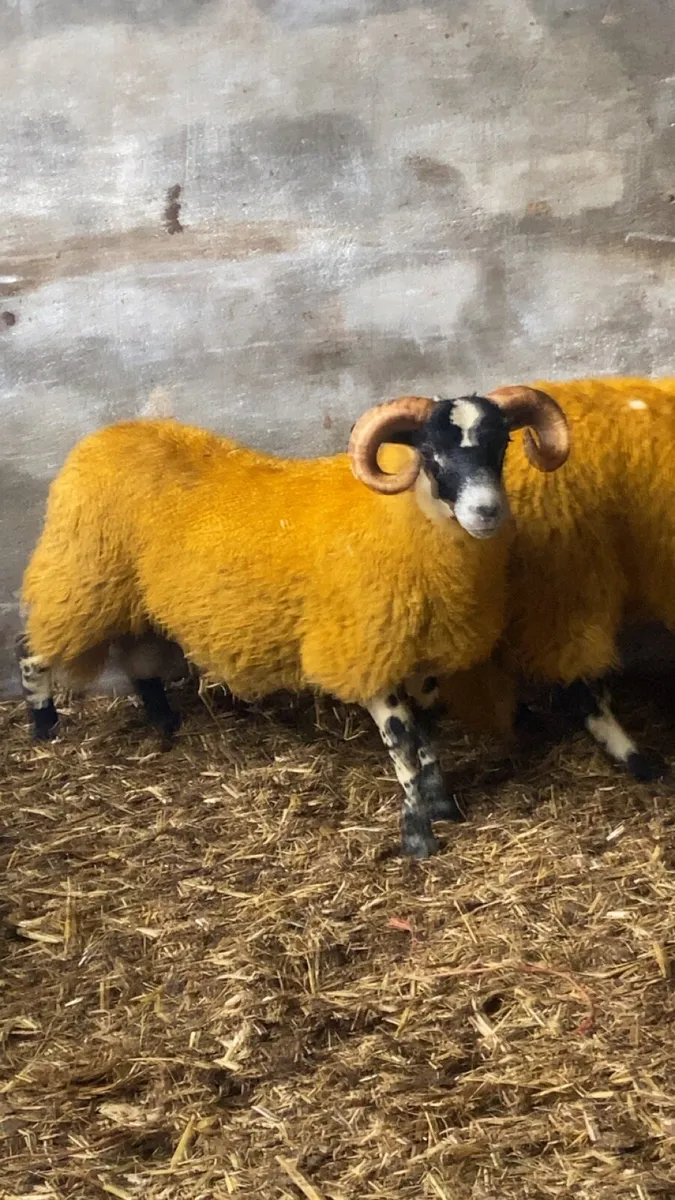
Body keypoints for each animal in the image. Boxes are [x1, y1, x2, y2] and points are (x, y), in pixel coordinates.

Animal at [17, 389, 568, 858]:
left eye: (502, 444)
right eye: (430, 453)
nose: (486, 512)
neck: (401, 518)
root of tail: (107, 436)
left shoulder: (419, 655)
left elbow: (426, 741)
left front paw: (442, 807)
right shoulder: (362, 654)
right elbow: (404, 746)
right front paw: (418, 835)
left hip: (130, 593)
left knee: (138, 657)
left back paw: (165, 723)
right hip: (80, 577)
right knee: (32, 649)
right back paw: (44, 726)